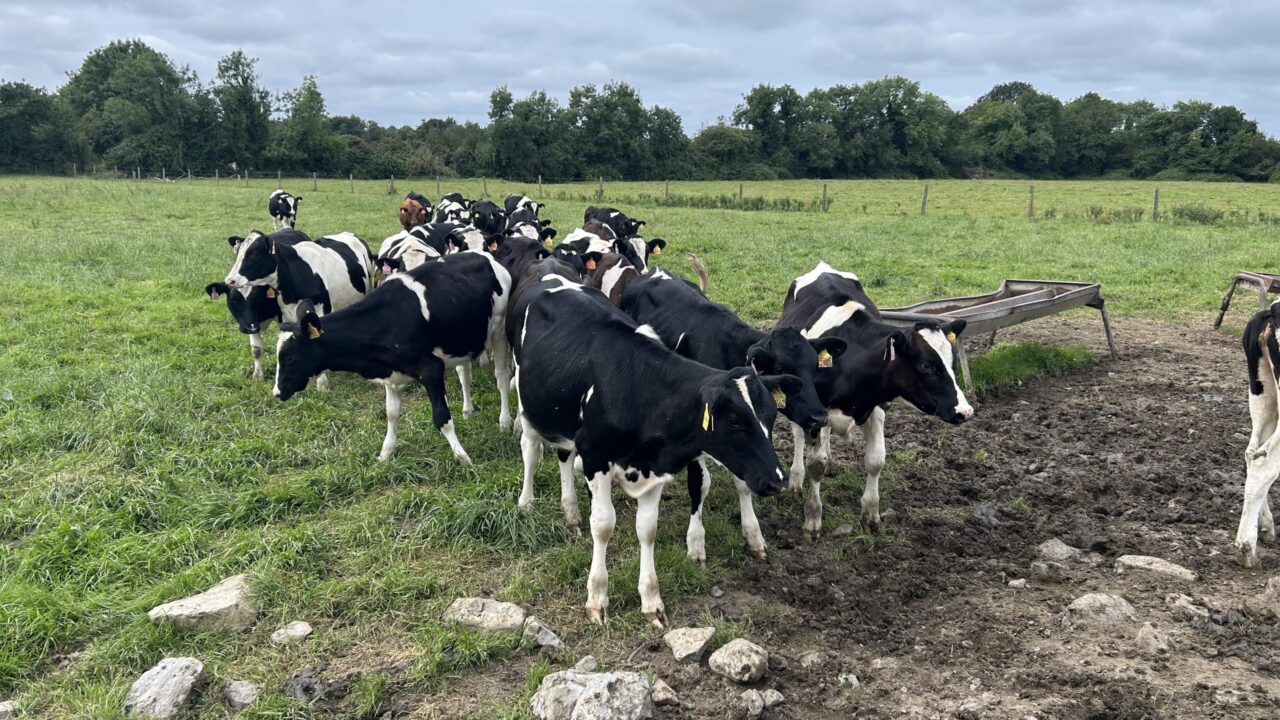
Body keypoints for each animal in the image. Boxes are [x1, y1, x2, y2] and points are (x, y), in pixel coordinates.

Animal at [224, 228, 374, 391]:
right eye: (238, 252)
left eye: (255, 254)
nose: (229, 280)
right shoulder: (285, 316)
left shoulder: (321, 311)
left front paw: (322, 385)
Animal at [273, 251, 513, 463]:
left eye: (290, 358)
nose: (277, 392)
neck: (387, 321)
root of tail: (486, 256)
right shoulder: (391, 374)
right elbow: (391, 413)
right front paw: (386, 452)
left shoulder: (431, 369)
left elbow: (442, 418)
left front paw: (463, 457)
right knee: (465, 373)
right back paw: (468, 410)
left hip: (499, 330)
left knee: (501, 377)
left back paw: (505, 421)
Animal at [512, 273, 795, 628]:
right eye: (735, 423)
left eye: (771, 417)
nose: (778, 480)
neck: (637, 390)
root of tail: (551, 276)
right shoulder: (595, 455)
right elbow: (603, 525)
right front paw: (597, 597)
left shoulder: (655, 468)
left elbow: (647, 529)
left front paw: (651, 600)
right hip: (526, 401)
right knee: (530, 448)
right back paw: (526, 502)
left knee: (564, 455)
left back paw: (572, 514)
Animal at [619, 263, 843, 562]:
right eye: (782, 368)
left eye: (814, 366)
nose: (819, 417)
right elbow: (699, 484)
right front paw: (696, 544)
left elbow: (744, 480)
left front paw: (753, 535)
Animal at [779, 261, 973, 538]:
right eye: (926, 365)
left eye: (952, 362)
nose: (964, 411)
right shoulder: (815, 412)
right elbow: (815, 464)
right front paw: (812, 519)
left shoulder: (876, 406)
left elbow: (876, 460)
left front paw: (871, 516)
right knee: (797, 435)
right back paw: (796, 481)